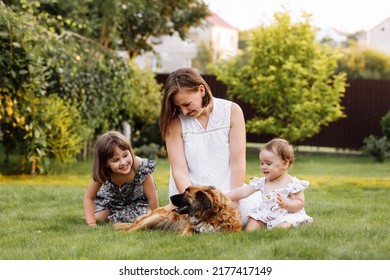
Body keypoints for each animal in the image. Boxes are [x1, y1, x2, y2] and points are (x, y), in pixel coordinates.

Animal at [112, 186, 241, 234]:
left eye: (186, 193)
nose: (170, 197)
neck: (212, 216)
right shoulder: (190, 227)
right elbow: (188, 233)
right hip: (160, 217)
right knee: (135, 227)